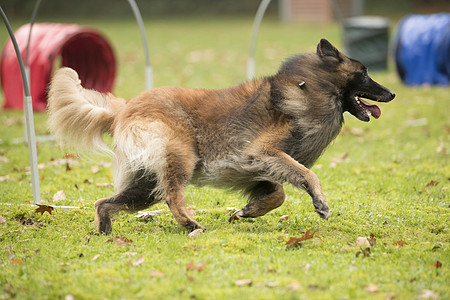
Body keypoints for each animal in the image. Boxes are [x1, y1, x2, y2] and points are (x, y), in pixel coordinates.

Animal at [47, 38, 396, 234]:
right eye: (364, 72)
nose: (392, 93)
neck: (309, 88)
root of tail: (125, 107)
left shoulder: (262, 171)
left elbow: (278, 195)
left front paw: (245, 212)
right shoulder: (263, 152)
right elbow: (306, 175)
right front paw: (320, 203)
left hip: (145, 186)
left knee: (103, 203)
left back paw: (105, 230)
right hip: (180, 158)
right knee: (174, 197)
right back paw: (191, 225)